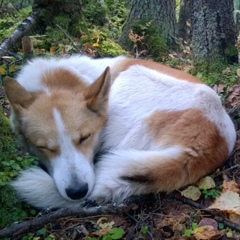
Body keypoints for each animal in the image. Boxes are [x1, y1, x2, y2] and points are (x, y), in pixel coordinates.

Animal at [5, 55, 236, 208]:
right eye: (43, 147)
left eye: (85, 138)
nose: (77, 192)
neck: (56, 82)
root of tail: (211, 141)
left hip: (129, 81)